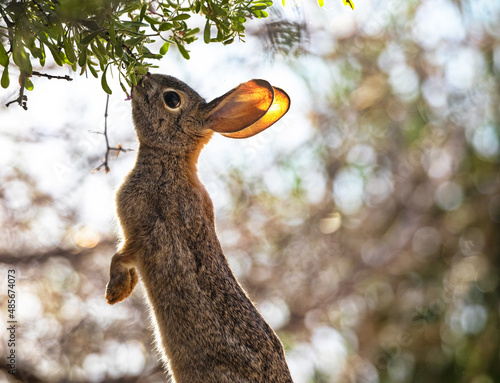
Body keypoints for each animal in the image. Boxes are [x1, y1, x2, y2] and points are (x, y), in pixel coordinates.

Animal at [105, 73, 292, 383]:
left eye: (171, 99)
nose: (141, 78)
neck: (170, 159)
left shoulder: (145, 230)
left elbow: (120, 256)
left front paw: (114, 293)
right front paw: (126, 288)